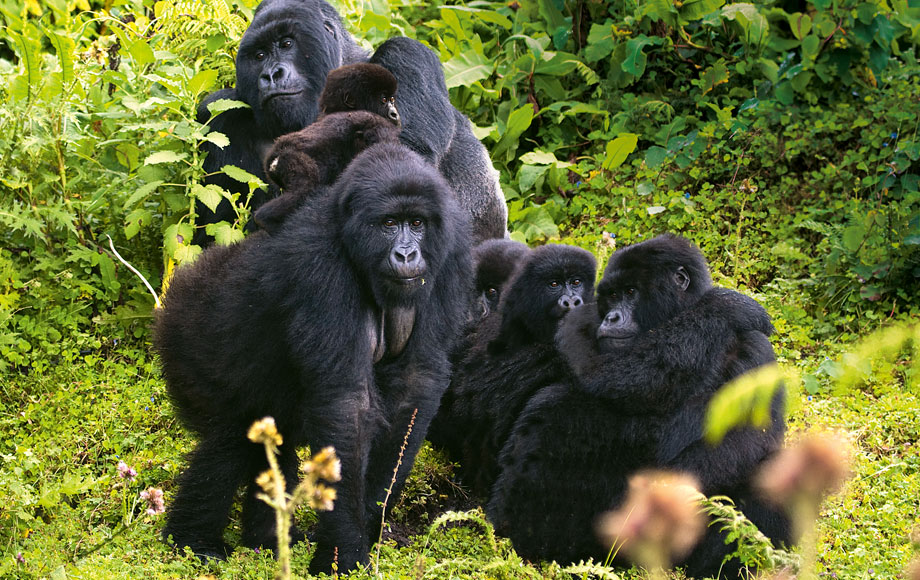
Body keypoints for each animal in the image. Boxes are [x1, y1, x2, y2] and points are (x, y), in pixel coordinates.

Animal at [154, 143, 470, 572]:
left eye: (417, 223)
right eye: (389, 223)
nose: (407, 254)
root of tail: (185, 277)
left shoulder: (452, 253)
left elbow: (414, 386)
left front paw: (369, 519)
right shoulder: (321, 262)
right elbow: (346, 406)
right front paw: (344, 552)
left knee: (271, 445)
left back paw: (265, 539)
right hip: (187, 339)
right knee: (228, 442)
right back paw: (193, 541)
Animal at [488, 233, 792, 576]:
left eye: (631, 292)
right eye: (612, 296)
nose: (611, 317)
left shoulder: (755, 351)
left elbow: (744, 443)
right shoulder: (582, 320)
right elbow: (603, 373)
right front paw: (724, 308)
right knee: (558, 407)